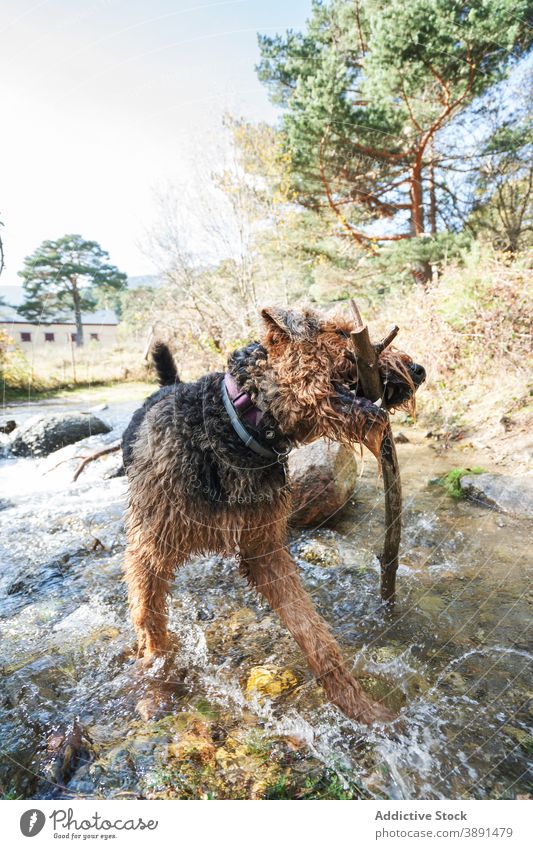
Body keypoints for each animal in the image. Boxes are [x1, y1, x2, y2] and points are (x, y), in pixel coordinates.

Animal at [120, 304, 424, 724]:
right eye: (340, 333)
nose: (418, 371)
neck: (237, 430)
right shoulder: (149, 551)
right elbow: (150, 624)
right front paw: (157, 689)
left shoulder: (264, 550)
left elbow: (314, 635)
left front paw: (359, 707)